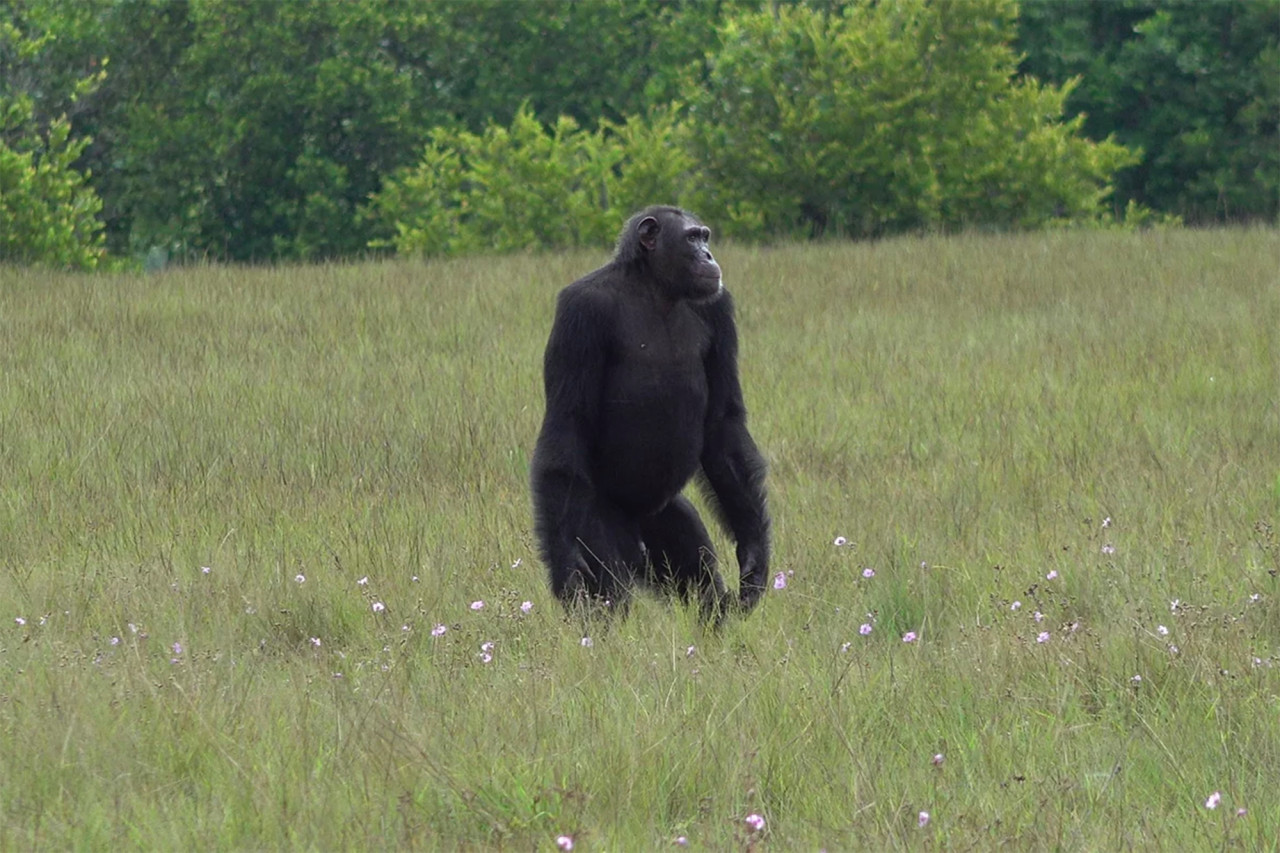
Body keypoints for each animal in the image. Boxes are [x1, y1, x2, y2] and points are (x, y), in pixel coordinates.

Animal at [529, 204, 768, 617]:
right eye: (692, 238)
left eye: (704, 235)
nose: (708, 255)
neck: (657, 288)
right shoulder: (580, 313)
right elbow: (568, 424)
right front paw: (566, 568)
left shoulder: (719, 309)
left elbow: (723, 426)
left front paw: (753, 551)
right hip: (596, 518)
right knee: (610, 595)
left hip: (666, 521)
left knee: (701, 584)